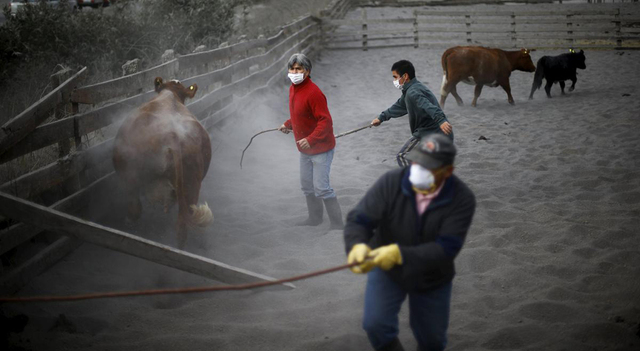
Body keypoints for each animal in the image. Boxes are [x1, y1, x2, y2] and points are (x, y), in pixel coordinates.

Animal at [114, 77, 214, 248]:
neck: (170, 94)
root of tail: (172, 135)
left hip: (130, 176)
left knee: (135, 208)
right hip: (191, 186)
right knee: (182, 224)